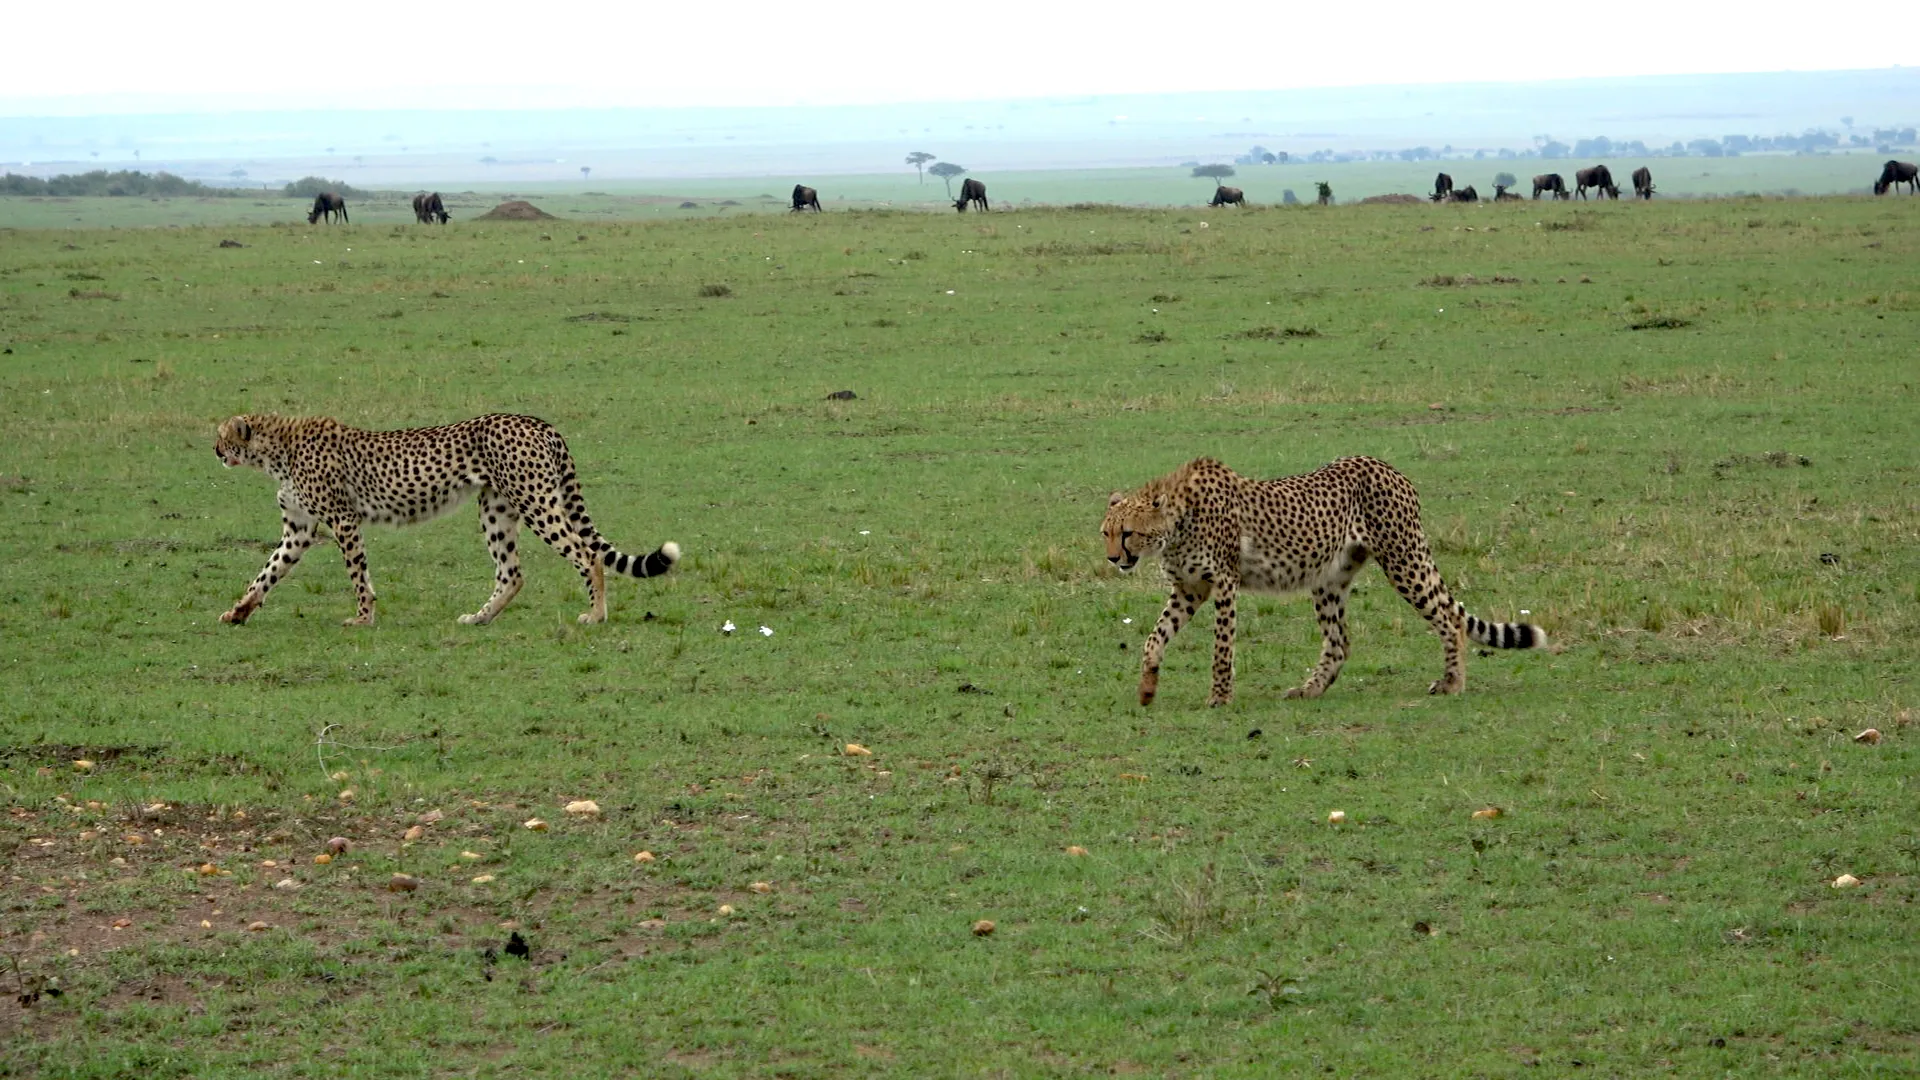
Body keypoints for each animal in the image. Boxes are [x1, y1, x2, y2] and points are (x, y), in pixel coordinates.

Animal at [216, 409, 683, 622]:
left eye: (222, 435)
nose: (216, 452)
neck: (276, 450)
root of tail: (537, 421)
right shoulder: (298, 530)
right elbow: (267, 572)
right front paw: (239, 611)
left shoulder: (343, 520)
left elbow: (356, 575)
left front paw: (363, 617)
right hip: (496, 508)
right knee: (512, 572)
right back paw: (480, 617)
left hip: (535, 501)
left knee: (586, 553)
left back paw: (595, 614)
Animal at [1098, 455, 1543, 703]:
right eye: (1106, 532)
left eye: (1128, 533)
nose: (1114, 559)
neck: (1175, 523)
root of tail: (1386, 466)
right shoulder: (1189, 589)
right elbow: (1154, 638)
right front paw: (1147, 689)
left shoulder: (1223, 582)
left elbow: (1221, 649)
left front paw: (1220, 697)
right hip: (1330, 578)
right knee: (1340, 641)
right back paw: (1310, 689)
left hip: (1403, 559)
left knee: (1449, 619)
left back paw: (1452, 683)